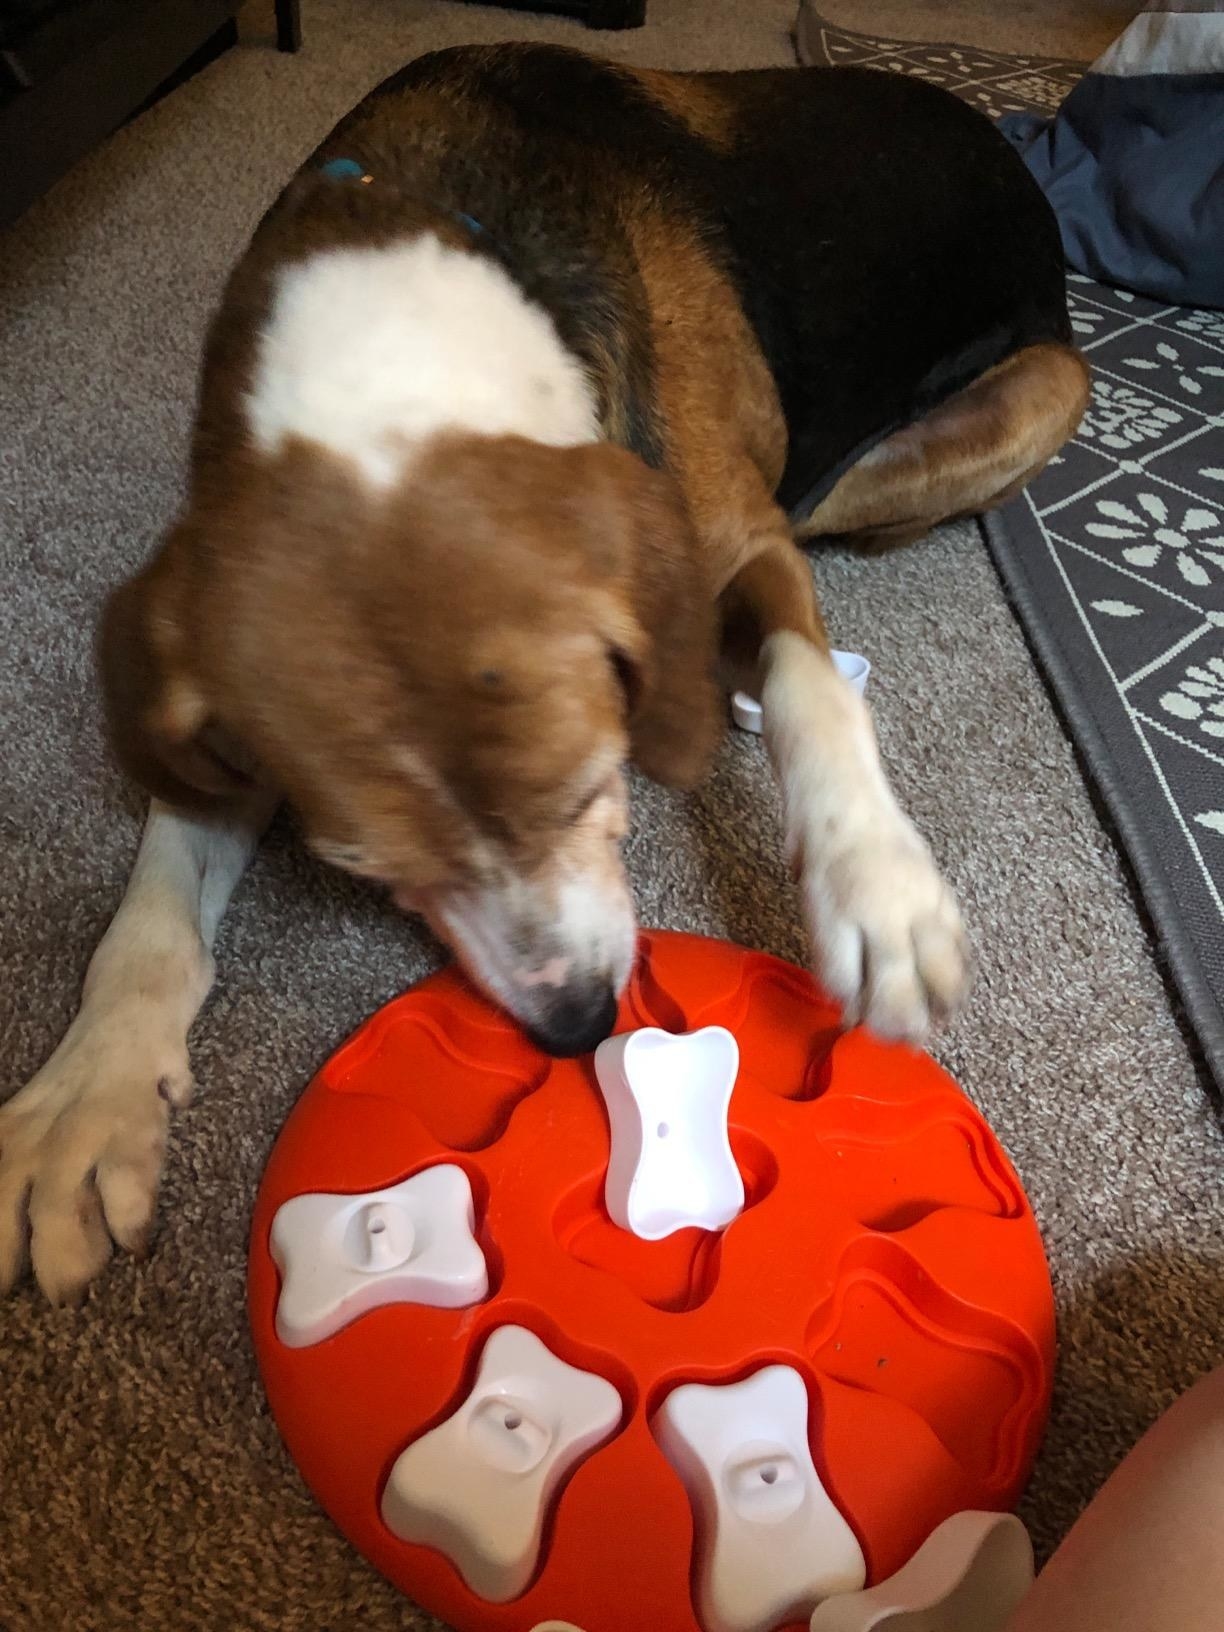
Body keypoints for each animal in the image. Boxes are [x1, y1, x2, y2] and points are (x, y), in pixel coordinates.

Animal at [0, 41, 1090, 1299]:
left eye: (586, 790)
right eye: (363, 866)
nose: (574, 1027)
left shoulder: (740, 539)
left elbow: (811, 684)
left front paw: (877, 885)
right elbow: (161, 887)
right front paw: (90, 1094)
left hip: (1028, 401)